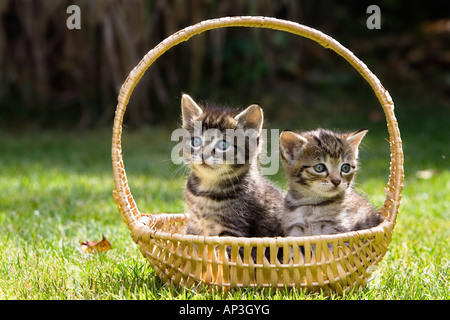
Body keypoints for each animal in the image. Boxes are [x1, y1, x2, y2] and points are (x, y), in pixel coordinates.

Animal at [178, 94, 282, 239]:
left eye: (223, 145)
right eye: (196, 141)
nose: (204, 154)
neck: (208, 187)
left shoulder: (234, 228)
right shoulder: (194, 225)